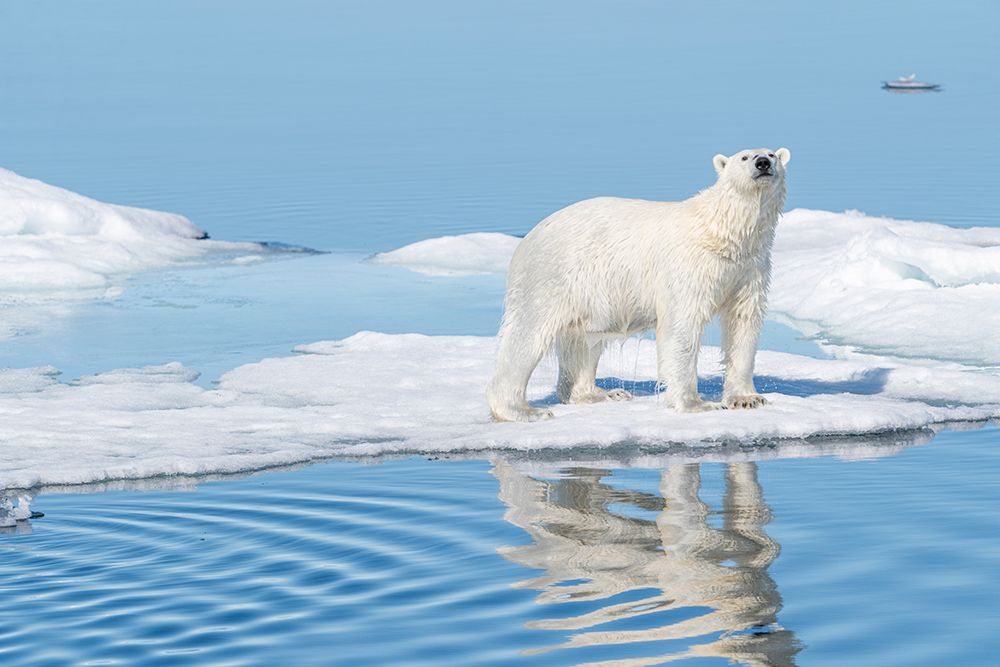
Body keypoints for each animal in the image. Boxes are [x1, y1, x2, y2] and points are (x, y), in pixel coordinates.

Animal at [486, 147, 790, 422]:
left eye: (771, 154)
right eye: (744, 156)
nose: (762, 163)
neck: (722, 232)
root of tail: (527, 239)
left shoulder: (749, 268)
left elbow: (743, 323)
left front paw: (747, 398)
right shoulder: (688, 268)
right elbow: (682, 326)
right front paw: (697, 404)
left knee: (583, 340)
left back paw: (602, 393)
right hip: (552, 275)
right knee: (527, 336)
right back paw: (523, 410)